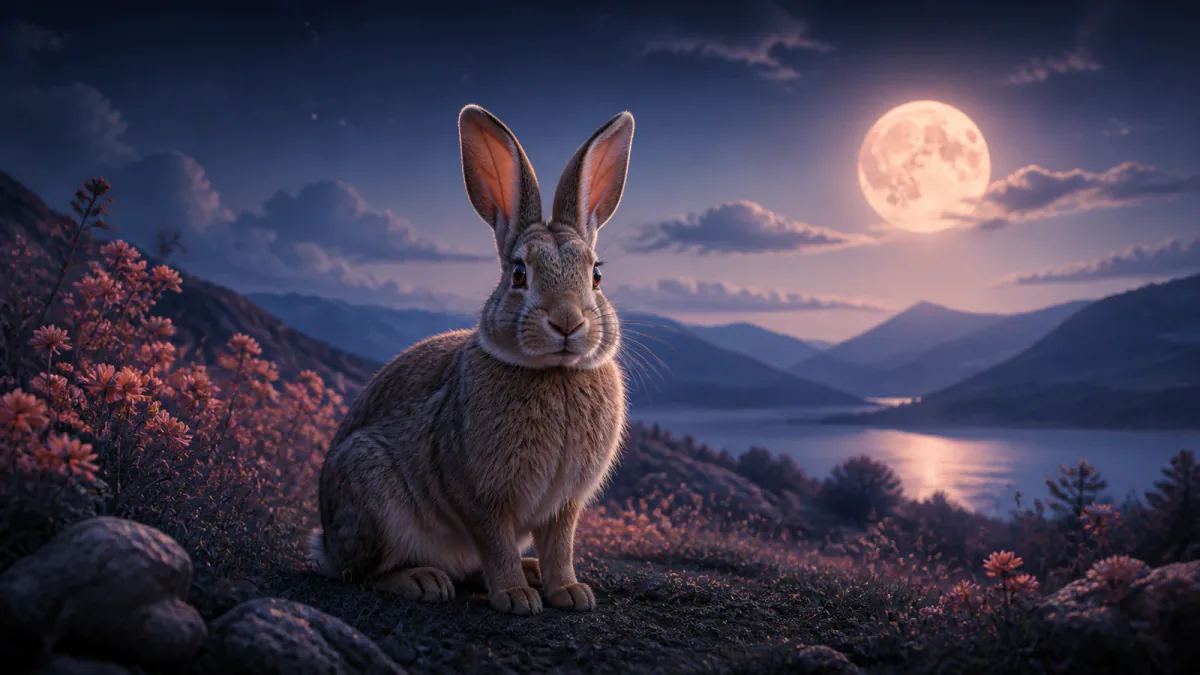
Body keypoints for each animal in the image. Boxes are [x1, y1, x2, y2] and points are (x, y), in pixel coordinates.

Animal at [310, 104, 634, 615]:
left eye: (596, 275)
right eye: (519, 273)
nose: (567, 323)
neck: (554, 373)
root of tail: (325, 542)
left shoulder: (564, 506)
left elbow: (560, 546)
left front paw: (570, 592)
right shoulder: (480, 497)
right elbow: (495, 542)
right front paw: (516, 599)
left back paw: (530, 572)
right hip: (371, 495)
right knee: (362, 573)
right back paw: (423, 581)